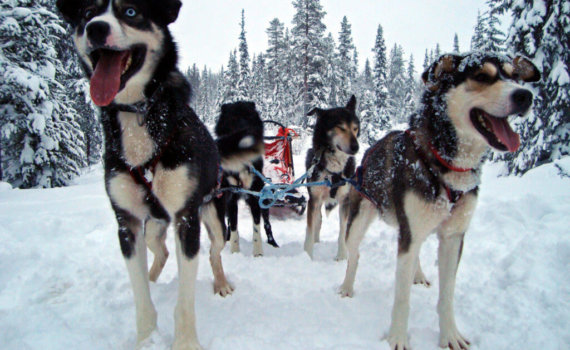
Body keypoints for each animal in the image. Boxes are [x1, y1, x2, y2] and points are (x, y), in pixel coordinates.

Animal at [55, 1, 237, 348]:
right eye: (87, 14)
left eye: (129, 11)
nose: (96, 28)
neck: (138, 114)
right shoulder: (127, 223)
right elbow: (141, 296)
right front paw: (146, 338)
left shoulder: (186, 220)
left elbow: (185, 301)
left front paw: (185, 343)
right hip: (152, 228)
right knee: (161, 251)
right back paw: (153, 278)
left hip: (214, 219)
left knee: (215, 253)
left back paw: (220, 282)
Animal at [213, 101, 278, 258]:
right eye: (233, 119)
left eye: (249, 117)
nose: (245, 132)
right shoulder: (231, 197)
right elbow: (234, 226)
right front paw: (235, 251)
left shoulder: (255, 196)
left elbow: (257, 227)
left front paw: (258, 254)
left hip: (264, 200)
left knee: (267, 223)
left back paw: (272, 242)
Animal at [302, 95, 360, 260]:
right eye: (341, 127)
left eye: (355, 128)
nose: (356, 147)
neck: (334, 170)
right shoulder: (314, 200)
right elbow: (309, 230)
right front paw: (308, 257)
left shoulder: (345, 200)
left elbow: (342, 231)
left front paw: (341, 257)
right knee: (317, 221)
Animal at [340, 52, 540, 350]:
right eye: (482, 76)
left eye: (514, 76)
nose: (525, 95)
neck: (446, 164)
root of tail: (367, 152)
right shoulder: (409, 235)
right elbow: (402, 298)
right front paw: (397, 338)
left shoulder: (453, 237)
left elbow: (447, 295)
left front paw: (449, 336)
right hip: (358, 223)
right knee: (354, 255)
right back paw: (347, 286)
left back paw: (418, 274)